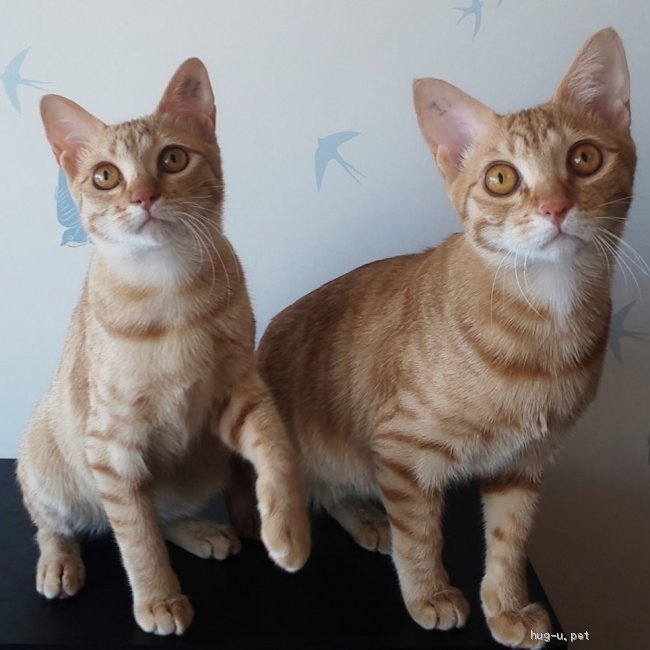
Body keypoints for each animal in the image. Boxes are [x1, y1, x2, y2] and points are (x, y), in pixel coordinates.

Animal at [16, 58, 310, 636]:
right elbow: (135, 535)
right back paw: (59, 562)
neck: (167, 292)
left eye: (172, 159)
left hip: (204, 464)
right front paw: (157, 598)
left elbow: (276, 447)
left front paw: (286, 526)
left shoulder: (236, 391)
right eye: (105, 175)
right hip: (46, 467)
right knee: (58, 523)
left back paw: (203, 530)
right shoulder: (112, 445)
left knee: (164, 511)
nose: (143, 196)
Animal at [256, 28, 635, 649]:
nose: (555, 208)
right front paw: (428, 594)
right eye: (501, 178)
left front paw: (506, 606)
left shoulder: (524, 464)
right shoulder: (402, 452)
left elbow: (509, 542)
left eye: (585, 158)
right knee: (317, 488)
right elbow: (419, 537)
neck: (544, 323)